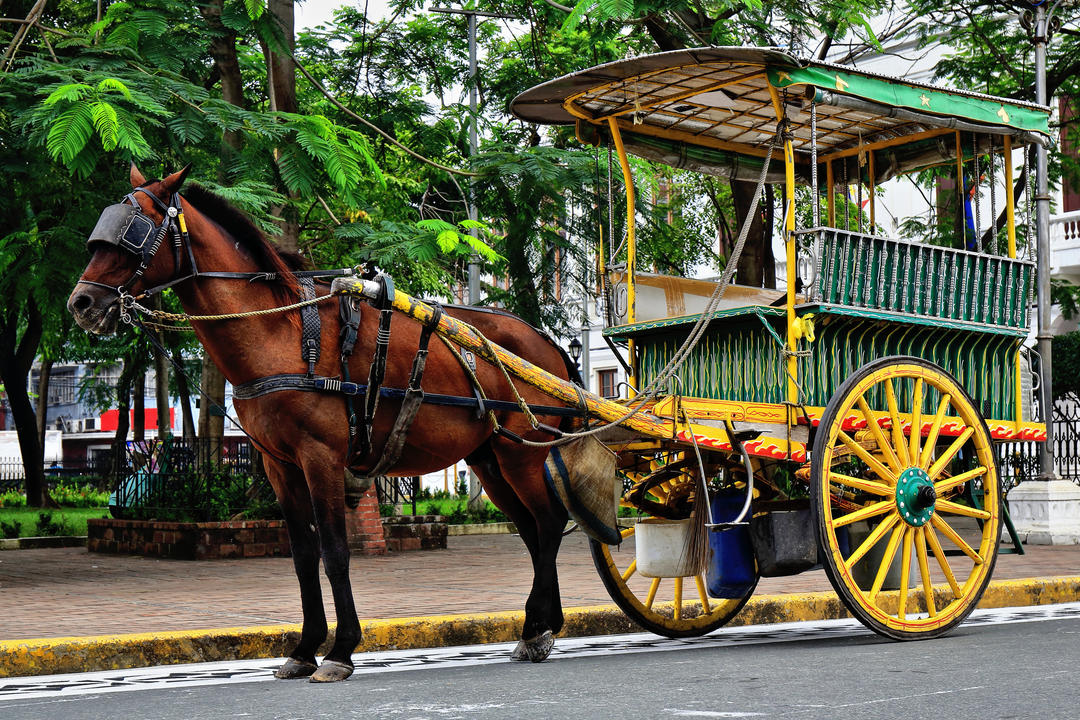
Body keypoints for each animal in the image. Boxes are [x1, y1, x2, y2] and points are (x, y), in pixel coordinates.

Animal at [67, 166, 574, 686]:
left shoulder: (321, 458)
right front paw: (306, 647)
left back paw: (536, 625)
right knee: (531, 530)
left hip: (524, 452)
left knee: (549, 523)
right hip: (490, 458)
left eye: (135, 231)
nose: (81, 303)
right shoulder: (279, 465)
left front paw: (341, 649)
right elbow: (304, 556)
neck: (281, 331)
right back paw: (540, 624)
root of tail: (546, 343)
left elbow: (335, 551)